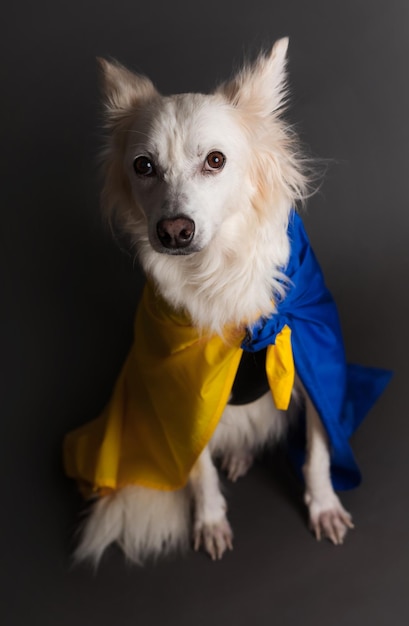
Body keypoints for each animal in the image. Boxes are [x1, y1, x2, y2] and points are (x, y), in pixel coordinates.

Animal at [63, 40, 360, 564]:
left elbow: (319, 454)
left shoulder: (313, 363)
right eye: (143, 166)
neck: (219, 272)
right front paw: (209, 520)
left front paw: (324, 505)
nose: (174, 231)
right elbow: (199, 468)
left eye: (216, 161)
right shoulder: (183, 399)